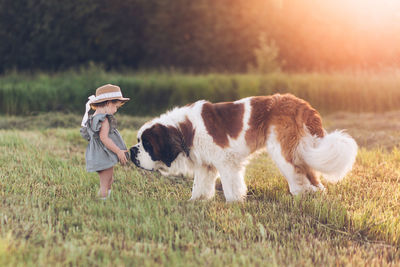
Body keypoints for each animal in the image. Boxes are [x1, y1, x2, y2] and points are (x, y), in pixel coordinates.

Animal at [130, 95, 358, 202]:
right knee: (312, 178)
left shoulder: (226, 161)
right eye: (139, 142)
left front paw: (234, 203)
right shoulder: (206, 165)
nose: (132, 151)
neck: (185, 129)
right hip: (298, 150)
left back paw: (300, 196)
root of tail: (300, 103)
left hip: (283, 151)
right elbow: (200, 185)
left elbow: (231, 186)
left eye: (147, 145)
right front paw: (196, 201)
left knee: (299, 177)